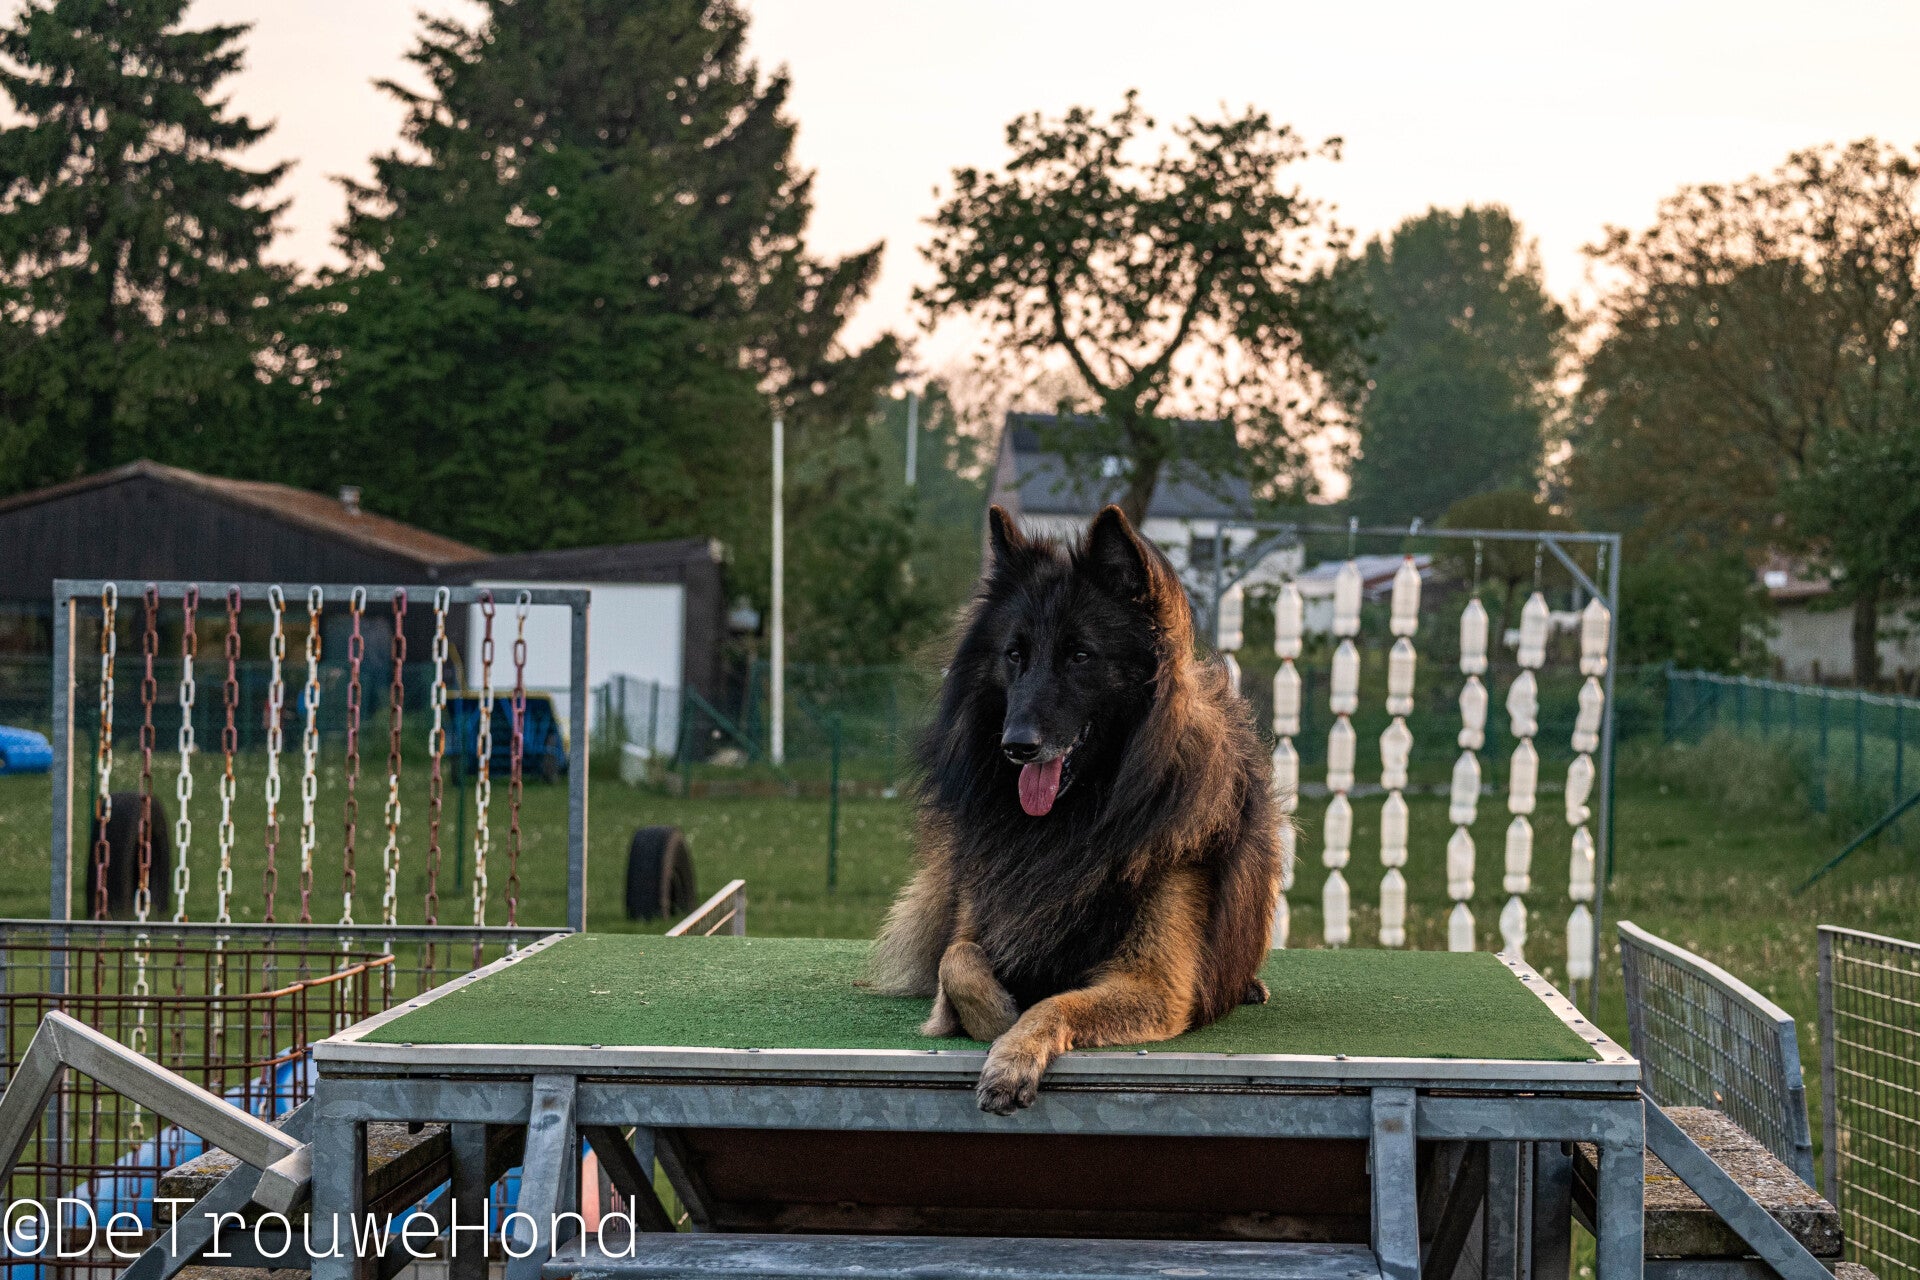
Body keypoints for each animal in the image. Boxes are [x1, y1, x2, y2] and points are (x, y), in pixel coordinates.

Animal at [868, 504, 1282, 1114]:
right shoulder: (978, 917)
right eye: (1014, 654)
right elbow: (957, 964)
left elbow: (1056, 1003)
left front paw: (1013, 1052)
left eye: (1081, 655)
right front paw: (997, 1014)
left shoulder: (1150, 983)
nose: (1017, 746)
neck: (1074, 819)